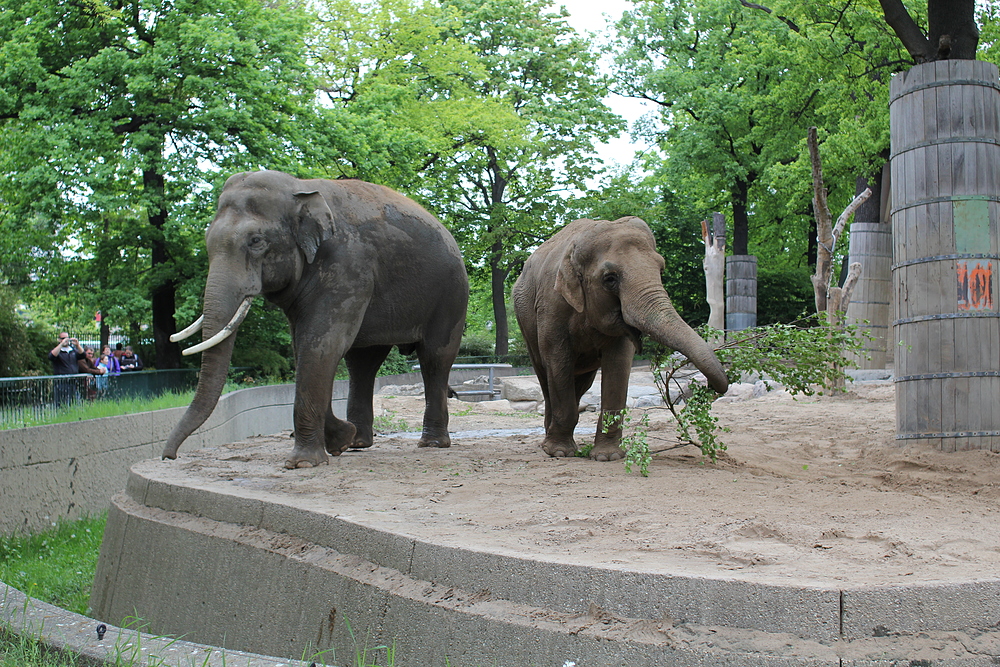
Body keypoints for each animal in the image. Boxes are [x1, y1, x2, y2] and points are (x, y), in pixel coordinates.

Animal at [163, 168, 468, 470]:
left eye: (256, 241)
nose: (169, 457)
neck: (299, 189)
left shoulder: (348, 264)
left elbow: (321, 343)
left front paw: (303, 463)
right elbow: (305, 347)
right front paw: (341, 440)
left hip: (450, 295)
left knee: (434, 358)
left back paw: (432, 444)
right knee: (362, 362)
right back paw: (358, 443)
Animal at [512, 217, 732, 462]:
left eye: (661, 270)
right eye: (610, 279)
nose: (708, 387)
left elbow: (618, 364)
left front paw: (607, 457)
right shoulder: (551, 306)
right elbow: (558, 360)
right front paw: (560, 452)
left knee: (582, 382)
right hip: (526, 324)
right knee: (546, 375)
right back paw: (549, 444)